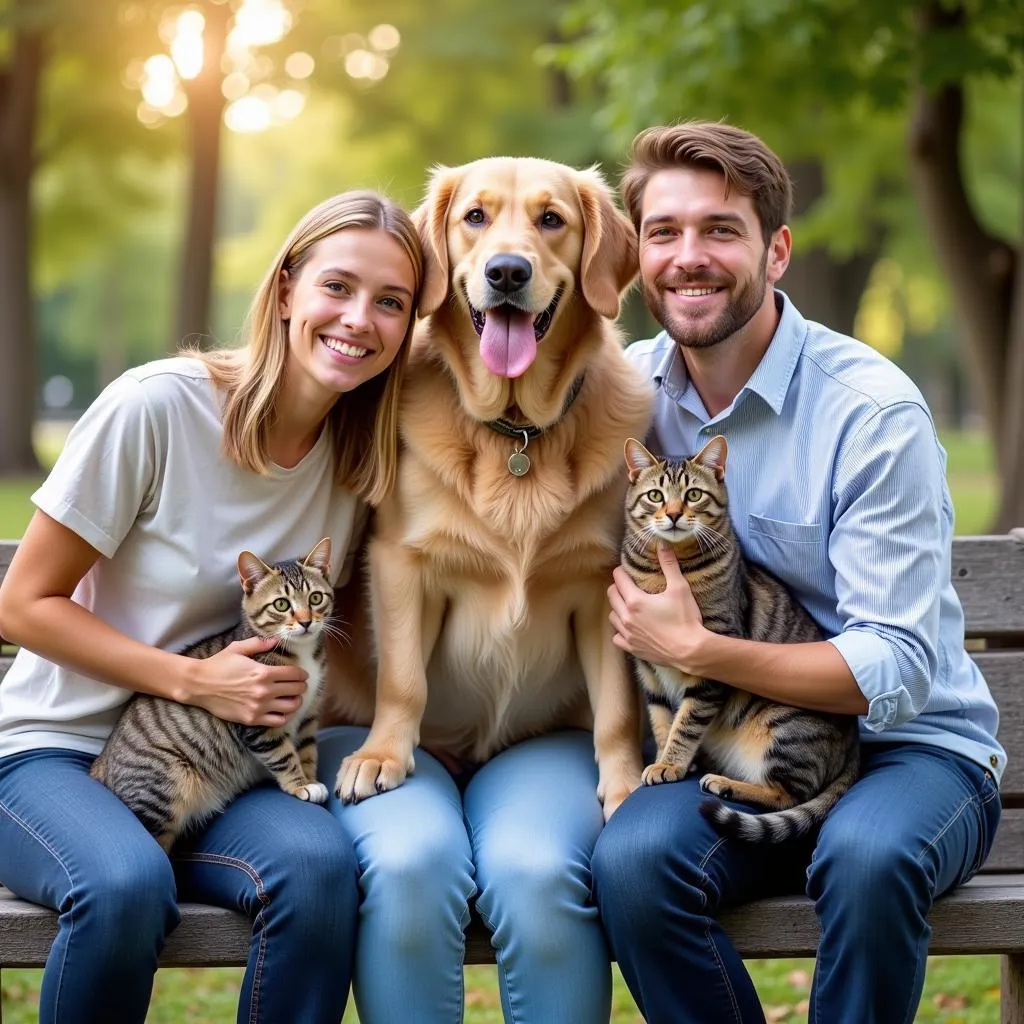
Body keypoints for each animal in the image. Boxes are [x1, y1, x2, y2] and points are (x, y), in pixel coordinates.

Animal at [90, 540, 333, 851]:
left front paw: (310, 778)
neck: (299, 654)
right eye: (281, 604)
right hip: (163, 787)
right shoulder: (260, 721)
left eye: (315, 598)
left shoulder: (310, 715)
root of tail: (103, 763)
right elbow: (284, 754)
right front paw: (300, 785)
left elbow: (307, 749)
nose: (305, 622)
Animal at [618, 436, 860, 843]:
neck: (665, 570)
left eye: (693, 494)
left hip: (784, 724)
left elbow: (685, 724)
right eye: (655, 495)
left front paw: (671, 763)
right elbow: (663, 719)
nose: (673, 514)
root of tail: (855, 743)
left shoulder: (708, 656)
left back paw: (726, 784)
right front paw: (664, 759)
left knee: (790, 795)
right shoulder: (648, 669)